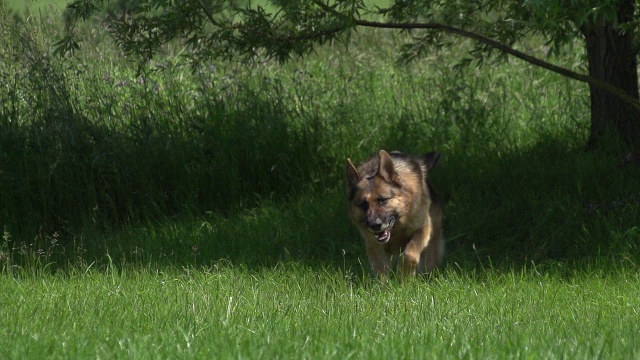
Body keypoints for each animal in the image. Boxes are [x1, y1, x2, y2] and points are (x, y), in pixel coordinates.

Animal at [344, 150, 444, 278]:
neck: (397, 228)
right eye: (363, 205)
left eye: (382, 200)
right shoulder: (374, 245)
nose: (375, 225)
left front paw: (405, 277)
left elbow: (409, 255)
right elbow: (382, 271)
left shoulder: (423, 228)